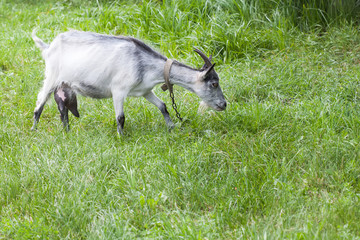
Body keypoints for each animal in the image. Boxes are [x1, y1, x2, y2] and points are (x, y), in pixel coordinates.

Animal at [32, 30, 226, 134]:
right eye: (214, 84)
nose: (224, 104)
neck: (143, 62)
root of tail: (49, 47)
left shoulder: (146, 91)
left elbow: (163, 105)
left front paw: (171, 127)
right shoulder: (118, 90)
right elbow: (120, 117)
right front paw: (121, 138)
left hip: (64, 86)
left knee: (63, 109)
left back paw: (67, 131)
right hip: (51, 77)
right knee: (39, 103)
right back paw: (34, 129)